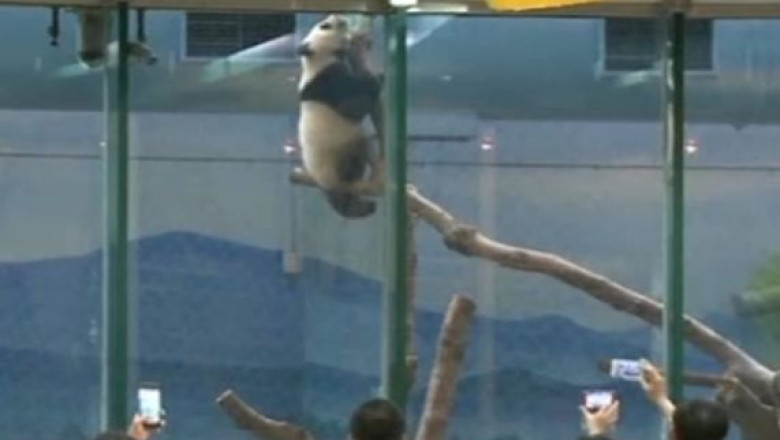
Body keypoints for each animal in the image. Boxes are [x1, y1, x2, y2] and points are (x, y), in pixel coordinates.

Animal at [295, 14, 383, 219]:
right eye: (324, 26)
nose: (339, 17)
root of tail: (324, 186)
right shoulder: (327, 81)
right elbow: (353, 108)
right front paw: (376, 79)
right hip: (334, 161)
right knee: (349, 166)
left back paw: (360, 205)